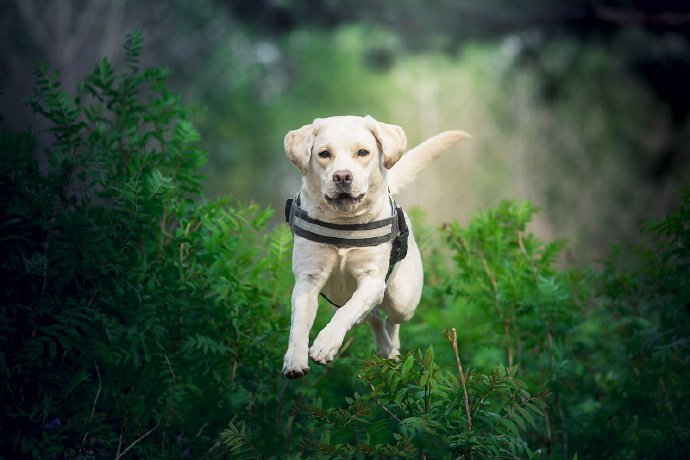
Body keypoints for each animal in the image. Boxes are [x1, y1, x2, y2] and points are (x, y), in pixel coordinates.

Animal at [280, 115, 468, 378]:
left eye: (363, 152)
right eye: (324, 153)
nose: (342, 177)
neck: (345, 225)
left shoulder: (372, 280)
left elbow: (346, 311)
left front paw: (326, 343)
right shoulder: (308, 278)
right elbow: (298, 322)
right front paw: (294, 360)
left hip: (403, 300)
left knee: (390, 317)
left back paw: (392, 347)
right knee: (373, 316)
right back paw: (384, 346)